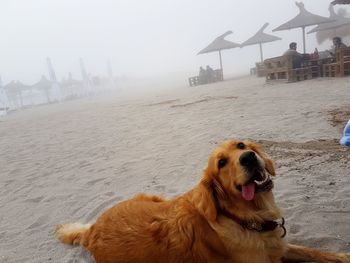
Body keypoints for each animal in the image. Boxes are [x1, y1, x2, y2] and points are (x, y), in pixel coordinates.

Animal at [56, 140, 350, 263]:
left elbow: (314, 251)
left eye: (241, 145)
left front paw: (342, 255)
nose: (249, 157)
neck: (244, 218)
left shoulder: (279, 245)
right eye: (221, 163)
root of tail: (93, 230)